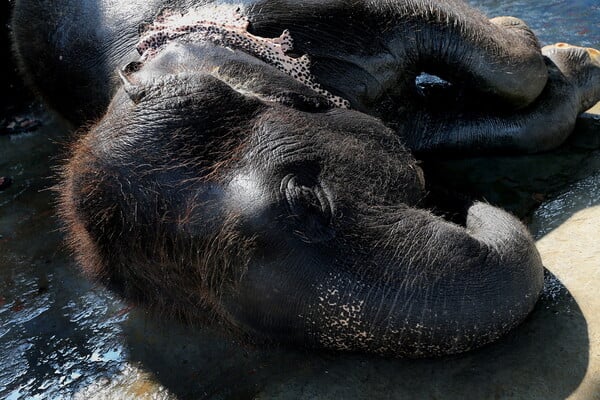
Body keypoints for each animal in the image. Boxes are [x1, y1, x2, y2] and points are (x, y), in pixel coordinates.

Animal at [10, 0, 600, 356]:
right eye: (237, 323)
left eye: (307, 196)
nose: (464, 206)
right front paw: (571, 68)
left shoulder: (322, 13)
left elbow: (506, 61)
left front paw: (567, 57)